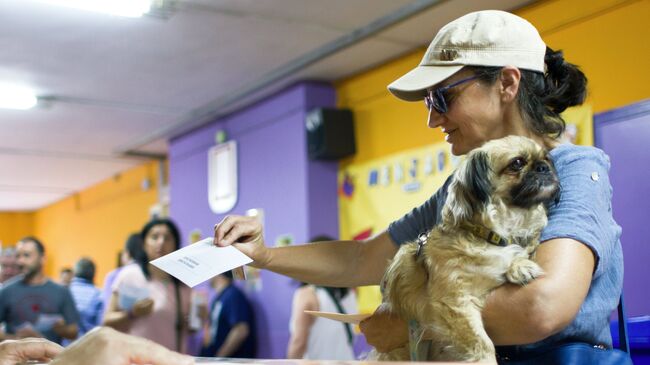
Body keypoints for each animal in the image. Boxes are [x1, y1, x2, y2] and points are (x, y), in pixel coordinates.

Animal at [378, 136, 560, 362]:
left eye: (546, 158)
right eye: (517, 163)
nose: (543, 167)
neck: (493, 236)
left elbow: (519, 253)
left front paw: (520, 266)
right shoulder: (456, 301)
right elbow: (482, 345)